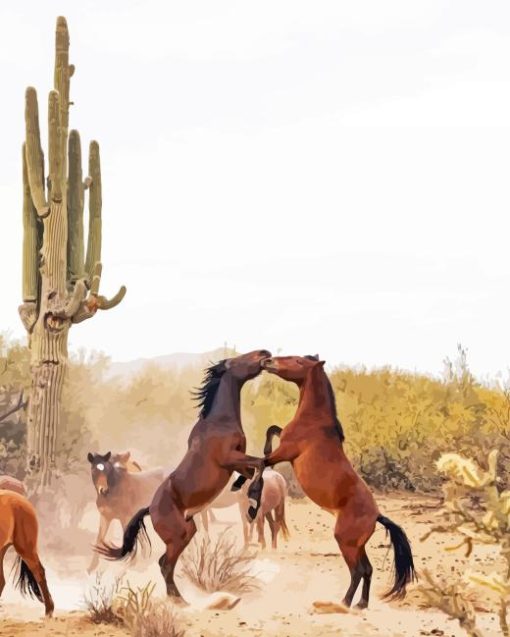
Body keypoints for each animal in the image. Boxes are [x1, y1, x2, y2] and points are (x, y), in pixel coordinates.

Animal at [96, 348, 270, 600]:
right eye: (238, 360)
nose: (264, 352)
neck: (219, 422)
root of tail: (150, 508)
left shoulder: (237, 462)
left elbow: (254, 470)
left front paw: (243, 490)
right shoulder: (229, 459)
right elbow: (261, 463)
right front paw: (253, 504)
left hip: (188, 531)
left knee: (165, 563)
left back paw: (178, 599)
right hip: (178, 535)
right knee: (165, 564)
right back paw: (179, 601)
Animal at [239, 356, 414, 608]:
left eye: (297, 360)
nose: (268, 360)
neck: (315, 421)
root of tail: (377, 515)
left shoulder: (286, 452)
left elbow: (261, 463)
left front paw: (253, 500)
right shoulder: (283, 442)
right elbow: (271, 432)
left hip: (345, 542)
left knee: (357, 571)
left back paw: (345, 602)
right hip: (358, 545)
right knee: (368, 570)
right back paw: (361, 604)